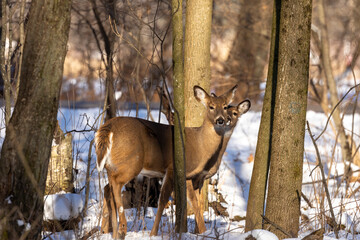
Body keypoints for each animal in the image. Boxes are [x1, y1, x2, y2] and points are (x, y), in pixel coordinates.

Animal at [94, 85, 249, 238]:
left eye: (225, 106)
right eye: (211, 106)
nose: (222, 120)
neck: (200, 145)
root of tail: (107, 127)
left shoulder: (193, 176)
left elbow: (196, 203)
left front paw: (202, 232)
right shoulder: (174, 168)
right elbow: (166, 200)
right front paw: (154, 233)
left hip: (113, 165)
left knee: (107, 187)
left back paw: (108, 231)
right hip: (131, 162)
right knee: (115, 185)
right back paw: (121, 227)